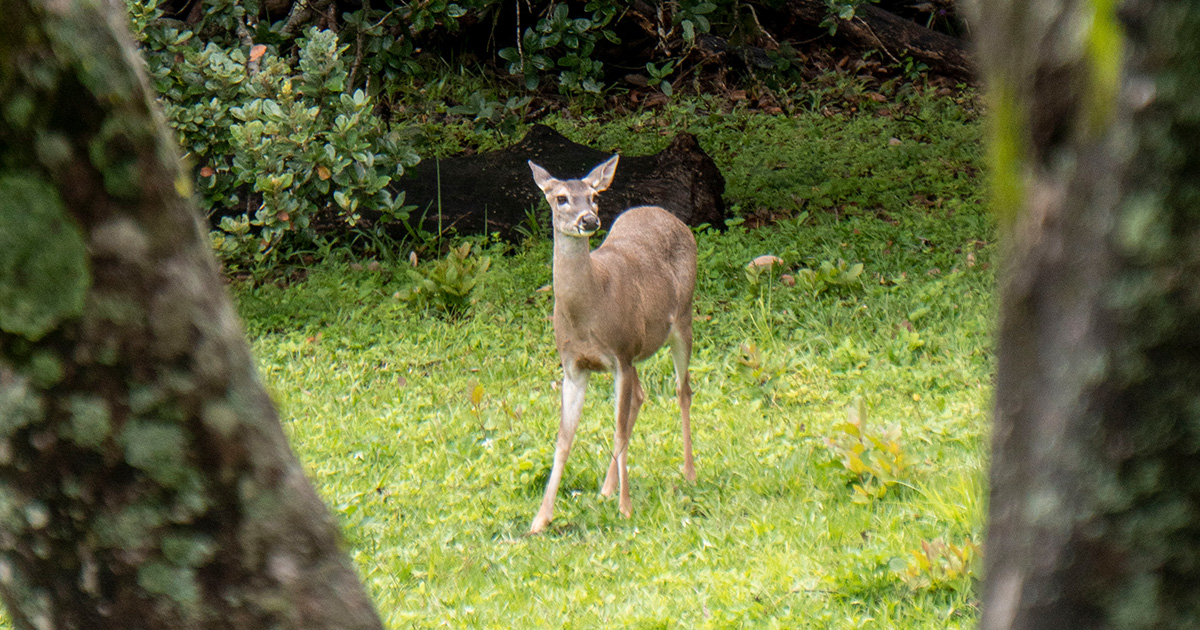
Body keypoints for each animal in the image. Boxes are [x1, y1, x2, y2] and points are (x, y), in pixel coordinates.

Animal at [523, 154, 696, 532]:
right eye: (560, 198)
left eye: (594, 197)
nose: (589, 220)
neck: (588, 311)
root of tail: (669, 215)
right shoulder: (574, 367)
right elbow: (563, 440)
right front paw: (541, 518)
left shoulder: (620, 354)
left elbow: (616, 430)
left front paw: (626, 508)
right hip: (638, 350)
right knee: (643, 395)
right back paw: (605, 487)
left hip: (683, 319)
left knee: (683, 390)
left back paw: (689, 471)